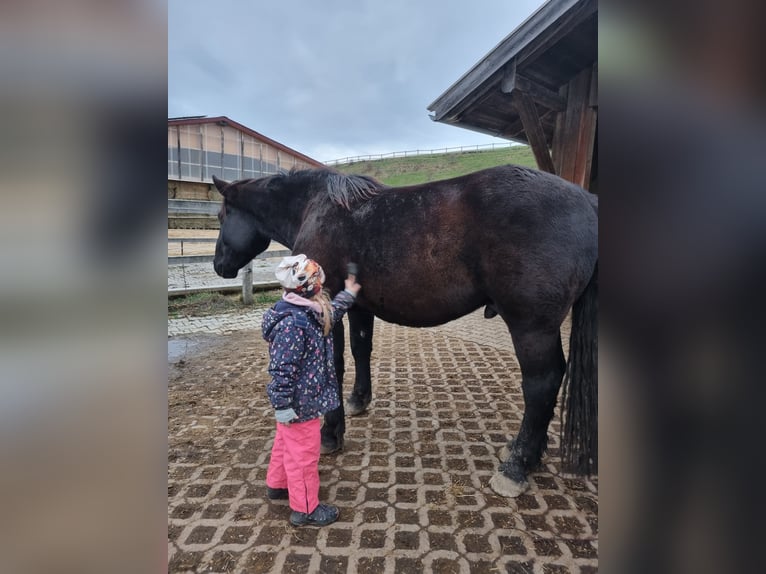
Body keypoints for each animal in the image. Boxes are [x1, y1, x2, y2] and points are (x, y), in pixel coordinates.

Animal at [212, 166, 600, 500]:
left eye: (220, 217)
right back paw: (527, 452)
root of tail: (587, 202)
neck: (316, 207)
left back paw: (516, 467)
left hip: (531, 326)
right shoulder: (358, 305)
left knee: (542, 383)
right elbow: (360, 350)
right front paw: (358, 400)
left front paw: (330, 434)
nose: (218, 265)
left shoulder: (327, 306)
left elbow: (332, 366)